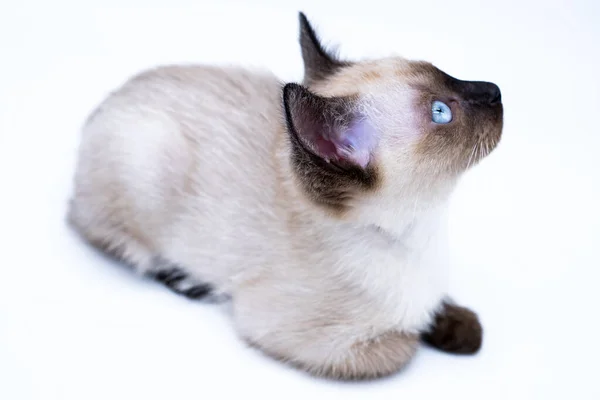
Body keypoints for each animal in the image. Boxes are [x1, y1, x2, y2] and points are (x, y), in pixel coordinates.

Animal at [68, 12, 504, 380]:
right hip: (147, 158)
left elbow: (445, 310)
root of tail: (105, 103)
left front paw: (458, 329)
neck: (421, 230)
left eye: (450, 77)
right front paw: (422, 331)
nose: (496, 90)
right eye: (441, 112)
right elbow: (403, 347)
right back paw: (184, 279)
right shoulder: (290, 332)